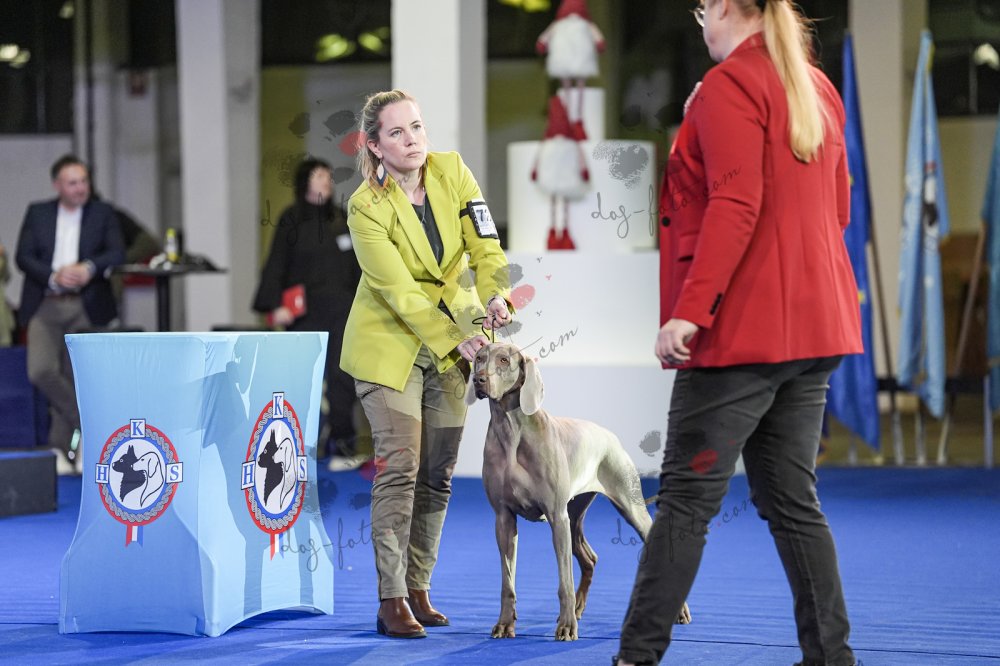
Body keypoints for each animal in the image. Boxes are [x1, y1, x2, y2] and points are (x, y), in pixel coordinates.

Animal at [467, 342, 691, 641]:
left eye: (504, 360)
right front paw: (505, 624)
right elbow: (507, 582)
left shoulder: (555, 516)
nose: (479, 379)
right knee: (590, 558)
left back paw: (678, 611)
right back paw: (579, 609)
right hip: (573, 516)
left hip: (625, 507)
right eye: (479, 358)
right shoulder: (503, 518)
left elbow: (565, 581)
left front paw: (566, 626)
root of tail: (610, 436)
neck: (511, 431)